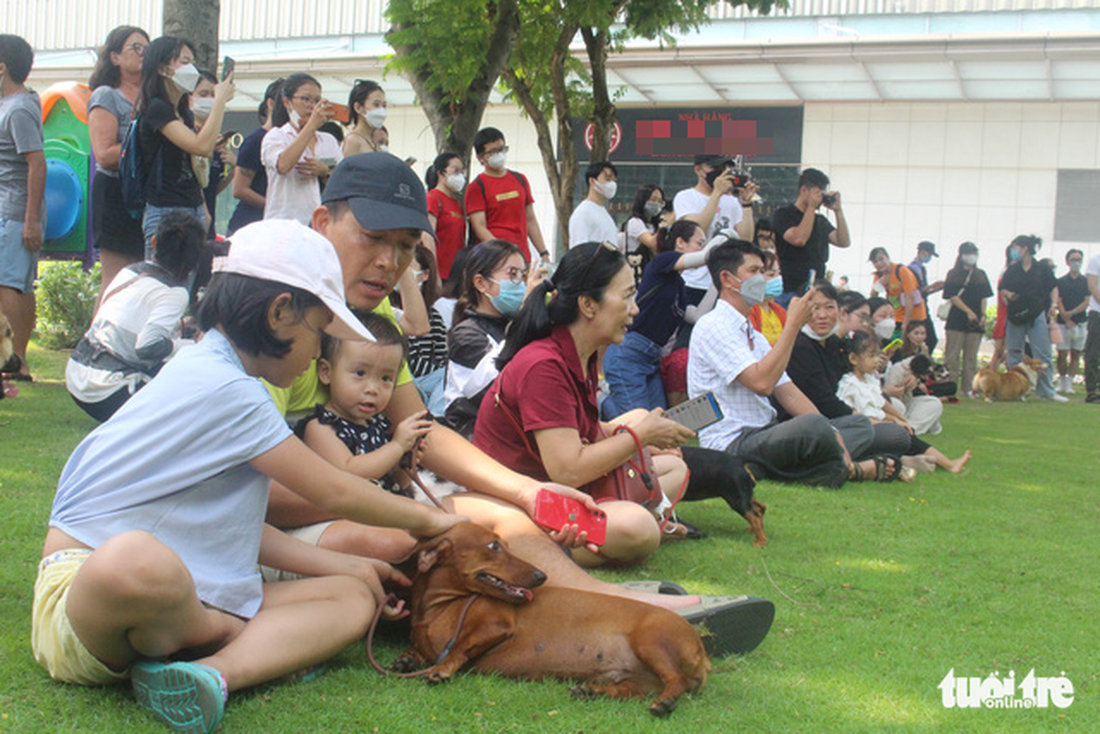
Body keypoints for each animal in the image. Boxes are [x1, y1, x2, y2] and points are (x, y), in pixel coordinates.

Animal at [398, 521, 712, 717]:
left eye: (503, 544)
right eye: (493, 546)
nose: (541, 576)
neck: (442, 606)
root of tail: (701, 651)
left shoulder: (496, 623)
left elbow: (459, 647)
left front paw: (442, 668)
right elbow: (418, 651)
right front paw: (407, 660)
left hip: (651, 643)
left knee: (678, 681)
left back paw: (666, 702)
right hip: (638, 680)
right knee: (630, 691)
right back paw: (592, 691)